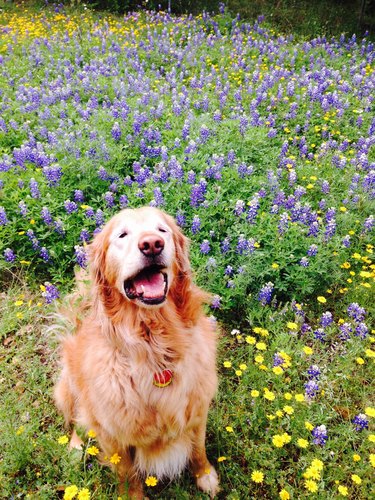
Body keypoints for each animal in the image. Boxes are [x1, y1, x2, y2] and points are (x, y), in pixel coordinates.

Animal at [54, 206, 219, 496]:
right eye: (122, 235)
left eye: (162, 229)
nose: (152, 244)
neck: (155, 344)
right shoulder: (112, 433)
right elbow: (127, 474)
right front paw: (132, 495)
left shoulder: (198, 410)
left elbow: (198, 449)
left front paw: (205, 476)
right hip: (69, 384)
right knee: (77, 417)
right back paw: (74, 447)